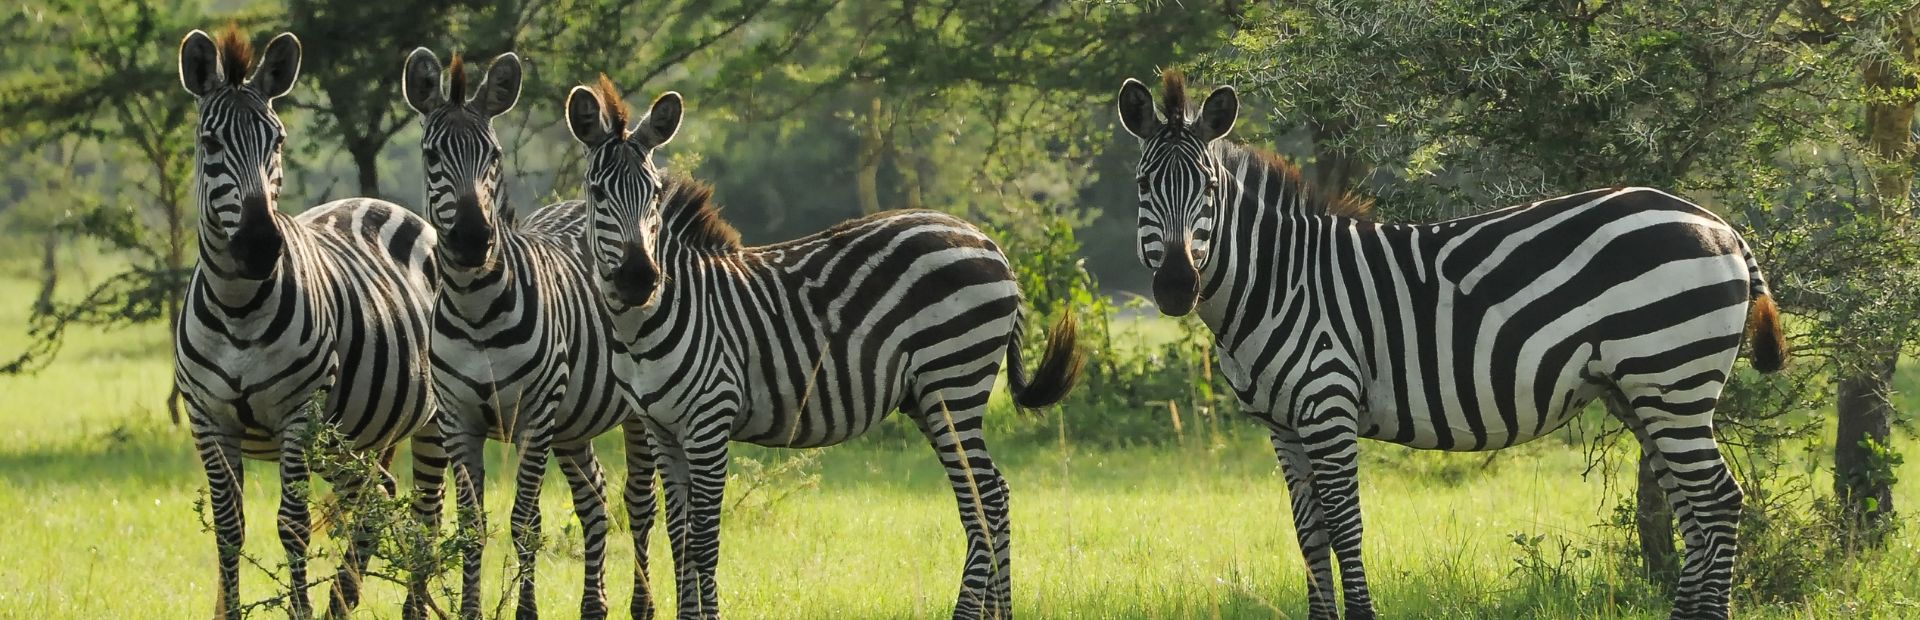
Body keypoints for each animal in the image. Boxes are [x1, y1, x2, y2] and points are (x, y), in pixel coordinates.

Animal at [174, 26, 443, 619]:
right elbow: (228, 530)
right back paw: (343, 598)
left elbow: (292, 526)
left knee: (427, 512)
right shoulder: (208, 420)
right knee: (377, 495)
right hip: (351, 438)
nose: (259, 245)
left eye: (276, 141)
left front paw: (300, 609)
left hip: (430, 417)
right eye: (209, 143)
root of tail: (378, 202)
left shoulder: (299, 414)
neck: (237, 306)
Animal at [398, 49, 656, 620]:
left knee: (642, 503)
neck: (476, 309)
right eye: (430, 156)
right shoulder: (458, 419)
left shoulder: (535, 414)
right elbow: (471, 526)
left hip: (631, 414)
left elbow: (525, 522)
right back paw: (594, 604)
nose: (474, 239)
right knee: (594, 498)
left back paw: (642, 604)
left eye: (493, 155)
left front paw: (527, 611)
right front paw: (471, 611)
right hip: (575, 420)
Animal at [563, 76, 1084, 620]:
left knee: (987, 497)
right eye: (597, 193)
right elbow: (679, 536)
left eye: (654, 194)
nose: (640, 279)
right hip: (927, 397)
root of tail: (987, 241)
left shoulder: (710, 421)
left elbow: (704, 540)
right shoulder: (662, 429)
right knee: (988, 497)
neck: (645, 325)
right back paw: (998, 611)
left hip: (954, 381)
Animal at [1115, 71, 1786, 620]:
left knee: (1718, 501)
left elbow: (1345, 527)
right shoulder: (1282, 425)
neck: (1280, 280)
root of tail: (1721, 227)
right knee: (1693, 510)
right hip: (1642, 392)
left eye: (1207, 188)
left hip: (1671, 378)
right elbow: (1309, 536)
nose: (1175, 286)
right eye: (1144, 185)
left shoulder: (1329, 405)